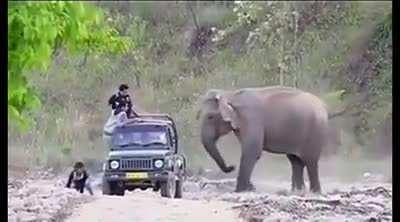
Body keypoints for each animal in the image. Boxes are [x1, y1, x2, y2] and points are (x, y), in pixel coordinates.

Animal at [195, 86, 330, 193]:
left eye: (210, 117)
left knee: (310, 161)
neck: (231, 94)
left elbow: (252, 152)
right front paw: (250, 188)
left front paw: (240, 191)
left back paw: (315, 192)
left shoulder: (252, 119)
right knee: (295, 161)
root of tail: (323, 105)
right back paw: (297, 191)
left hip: (315, 130)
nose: (232, 166)